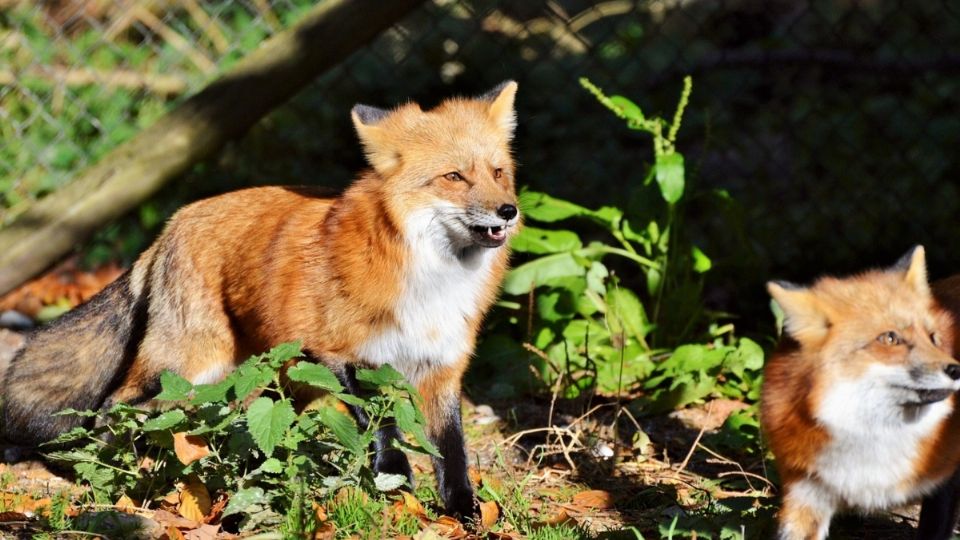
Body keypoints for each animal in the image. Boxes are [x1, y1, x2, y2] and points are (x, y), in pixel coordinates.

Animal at [0, 81, 520, 520]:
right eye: (454, 176)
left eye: (498, 172)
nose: (509, 210)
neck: (432, 280)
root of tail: (172, 222)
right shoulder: (340, 354)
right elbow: (384, 428)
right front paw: (395, 486)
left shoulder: (442, 368)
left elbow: (452, 452)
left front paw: (463, 511)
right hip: (190, 365)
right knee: (116, 404)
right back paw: (117, 471)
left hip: (275, 377)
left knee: (240, 425)